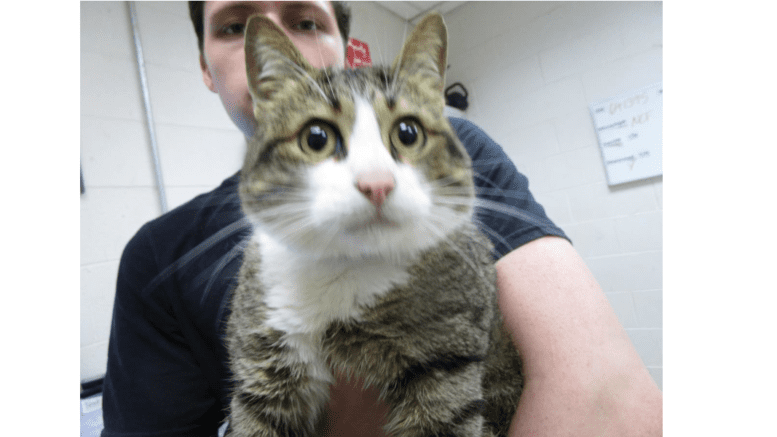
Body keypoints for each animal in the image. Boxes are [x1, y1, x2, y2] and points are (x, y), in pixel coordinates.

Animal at [227, 11, 524, 434]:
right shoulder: (262, 365)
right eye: (316, 137)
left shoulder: (446, 362)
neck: (347, 268)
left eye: (408, 133)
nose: (376, 183)